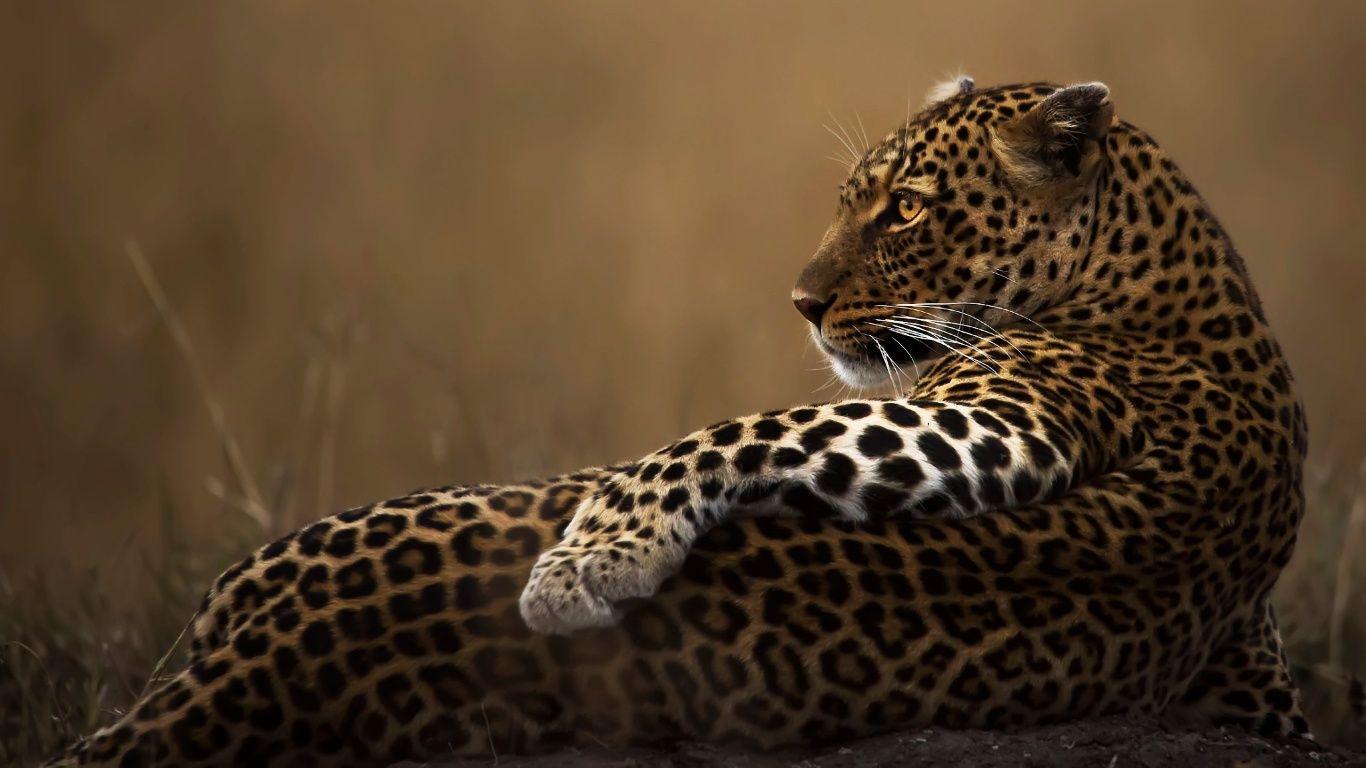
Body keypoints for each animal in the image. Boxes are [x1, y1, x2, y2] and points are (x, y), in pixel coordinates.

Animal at [53, 76, 1310, 767]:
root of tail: (276, 651)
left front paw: (589, 560)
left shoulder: (1011, 416)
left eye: (904, 210)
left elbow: (737, 432)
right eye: (848, 201)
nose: (800, 301)